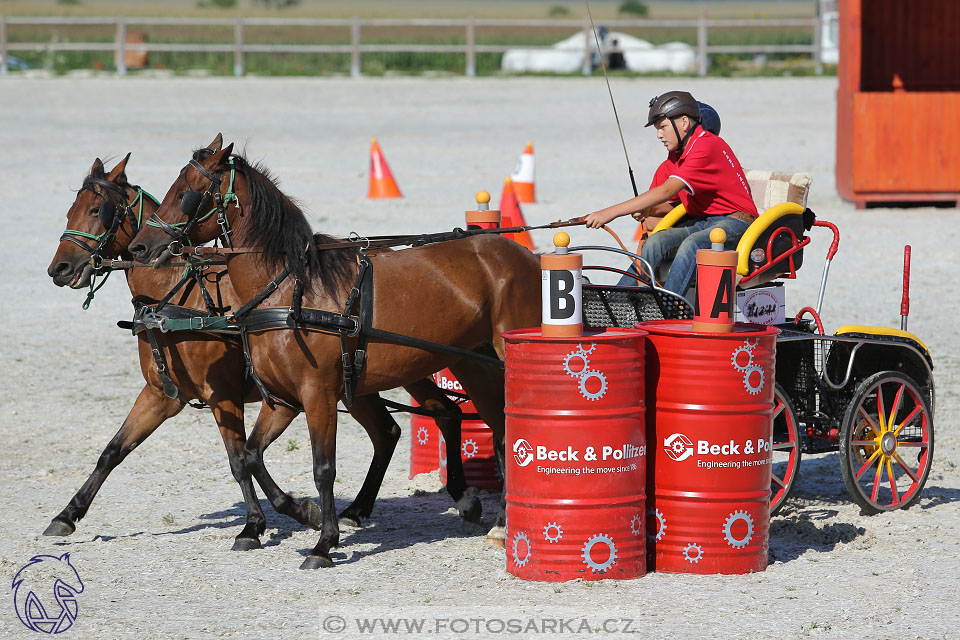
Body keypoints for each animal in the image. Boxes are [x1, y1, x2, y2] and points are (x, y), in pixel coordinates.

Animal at [48, 154, 476, 552]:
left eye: (96, 210)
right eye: (70, 210)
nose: (59, 269)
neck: (180, 296)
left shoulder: (223, 393)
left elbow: (239, 460)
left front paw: (261, 523)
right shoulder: (161, 396)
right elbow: (113, 451)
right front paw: (67, 515)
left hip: (405, 367)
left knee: (441, 415)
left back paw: (461, 497)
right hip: (361, 381)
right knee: (392, 431)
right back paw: (359, 509)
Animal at [126, 135, 540, 568]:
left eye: (186, 193)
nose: (140, 247)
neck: (290, 290)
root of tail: (523, 255)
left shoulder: (317, 395)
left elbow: (323, 468)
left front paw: (323, 543)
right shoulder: (283, 400)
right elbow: (252, 454)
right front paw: (295, 515)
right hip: (473, 364)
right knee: (496, 428)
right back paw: (497, 524)